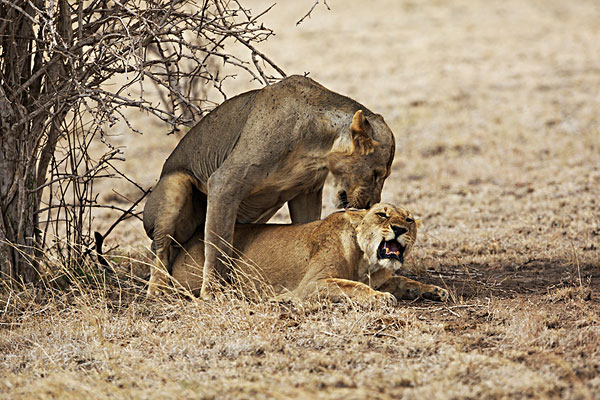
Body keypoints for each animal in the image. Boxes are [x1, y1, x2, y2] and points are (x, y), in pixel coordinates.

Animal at [143, 76, 396, 298]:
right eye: (377, 174)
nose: (371, 204)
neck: (319, 145)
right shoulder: (224, 183)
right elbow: (217, 244)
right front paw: (212, 293)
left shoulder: (307, 192)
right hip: (176, 184)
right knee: (161, 249)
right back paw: (158, 289)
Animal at [171, 202, 448, 304]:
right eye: (382, 214)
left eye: (409, 220)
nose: (400, 228)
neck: (366, 262)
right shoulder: (312, 284)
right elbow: (351, 286)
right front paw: (380, 298)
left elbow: (403, 280)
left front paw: (433, 290)